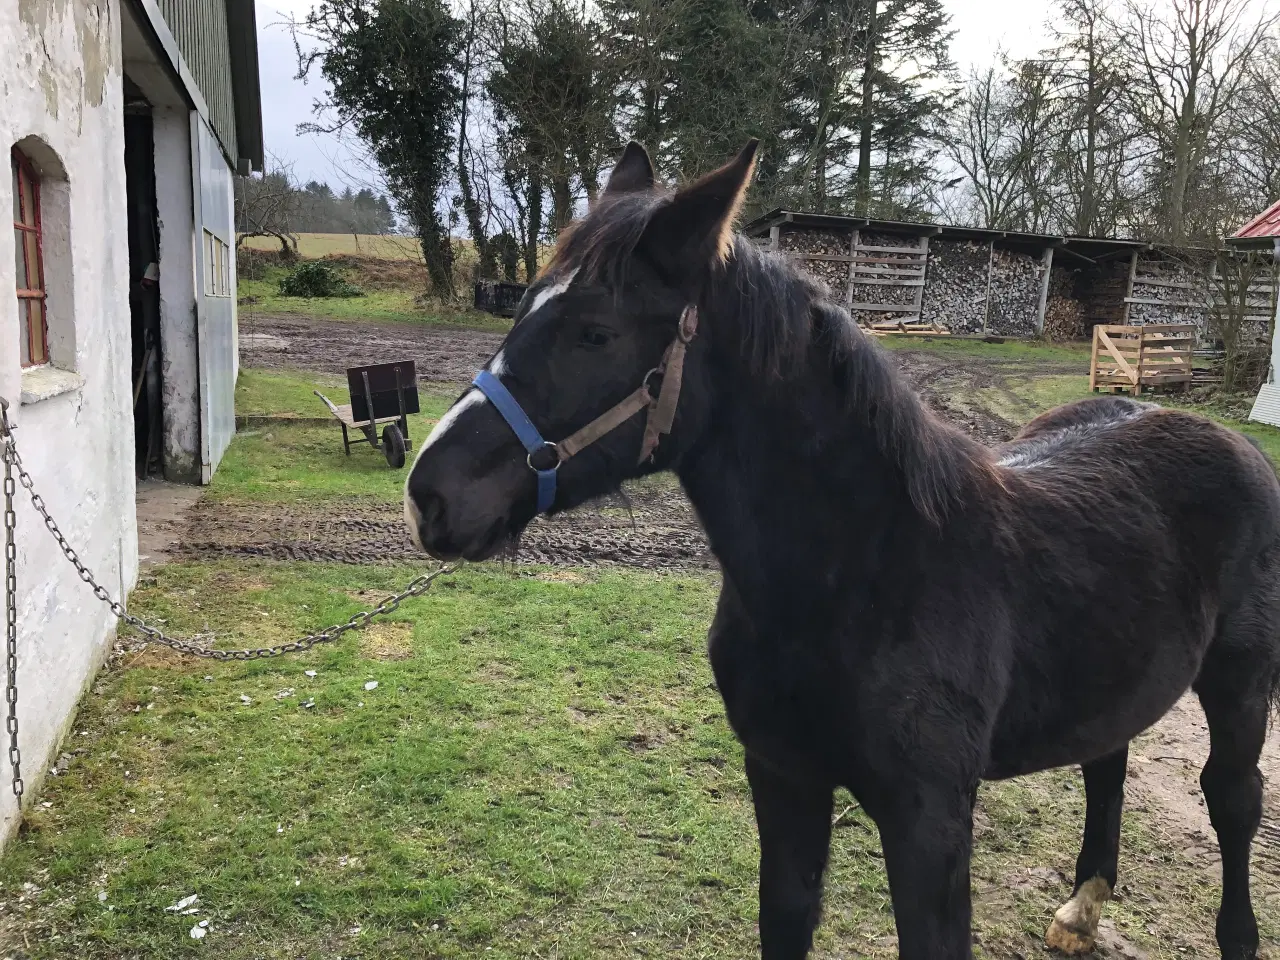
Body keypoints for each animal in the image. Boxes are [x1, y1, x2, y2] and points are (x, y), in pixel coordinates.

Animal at [407, 138, 1280, 957]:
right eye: (521, 310)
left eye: (596, 332)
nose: (430, 494)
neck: (864, 573)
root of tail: (1221, 436)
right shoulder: (783, 777)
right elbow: (786, 919)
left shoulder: (930, 820)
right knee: (1109, 763)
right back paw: (1082, 909)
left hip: (1241, 687)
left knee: (1233, 801)